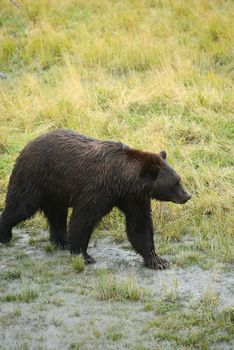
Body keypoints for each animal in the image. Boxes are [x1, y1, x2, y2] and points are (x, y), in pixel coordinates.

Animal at [0, 130, 190, 270]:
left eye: (178, 178)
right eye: (176, 183)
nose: (187, 196)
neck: (122, 180)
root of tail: (29, 143)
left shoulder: (133, 198)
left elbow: (139, 225)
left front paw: (157, 260)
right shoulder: (98, 189)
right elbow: (83, 218)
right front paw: (84, 255)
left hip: (56, 190)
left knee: (56, 213)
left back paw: (62, 241)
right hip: (34, 177)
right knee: (20, 206)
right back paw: (5, 235)